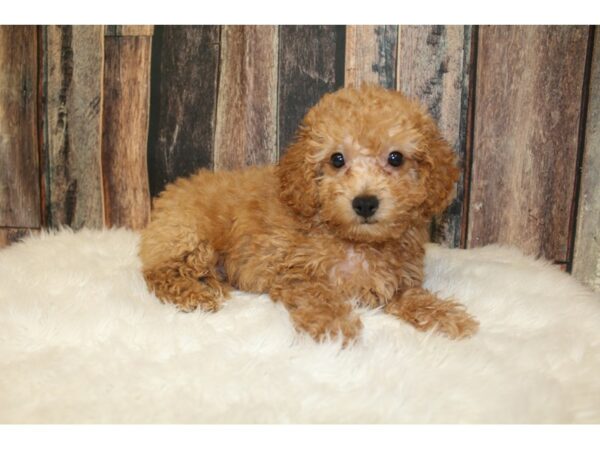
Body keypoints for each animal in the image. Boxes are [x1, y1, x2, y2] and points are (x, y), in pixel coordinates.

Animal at [139, 85, 478, 344]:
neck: (357, 241)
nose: (365, 203)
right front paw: (334, 328)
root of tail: (169, 196)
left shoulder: (397, 282)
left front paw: (445, 316)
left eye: (395, 158)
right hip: (189, 237)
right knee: (159, 273)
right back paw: (195, 294)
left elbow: (413, 296)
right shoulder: (294, 272)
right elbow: (319, 295)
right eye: (337, 159)